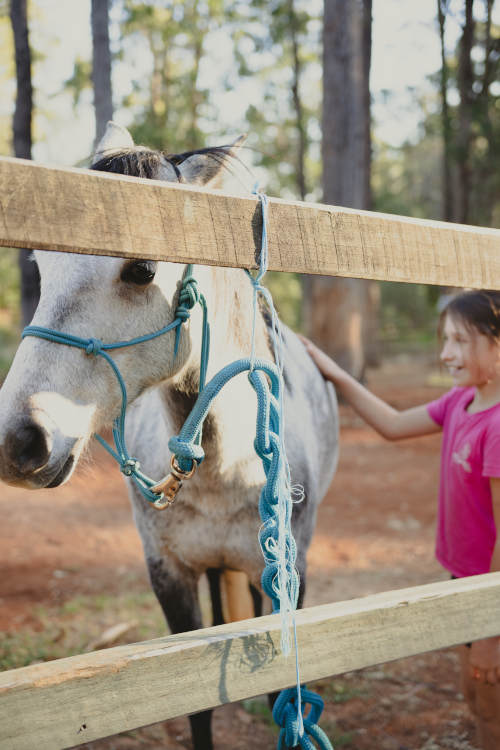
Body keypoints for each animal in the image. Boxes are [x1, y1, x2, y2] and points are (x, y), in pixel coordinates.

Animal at [0, 123, 340, 750]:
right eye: (41, 262)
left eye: (141, 270)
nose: (18, 441)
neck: (229, 471)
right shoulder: (169, 575)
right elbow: (195, 701)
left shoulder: (288, 575)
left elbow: (285, 694)